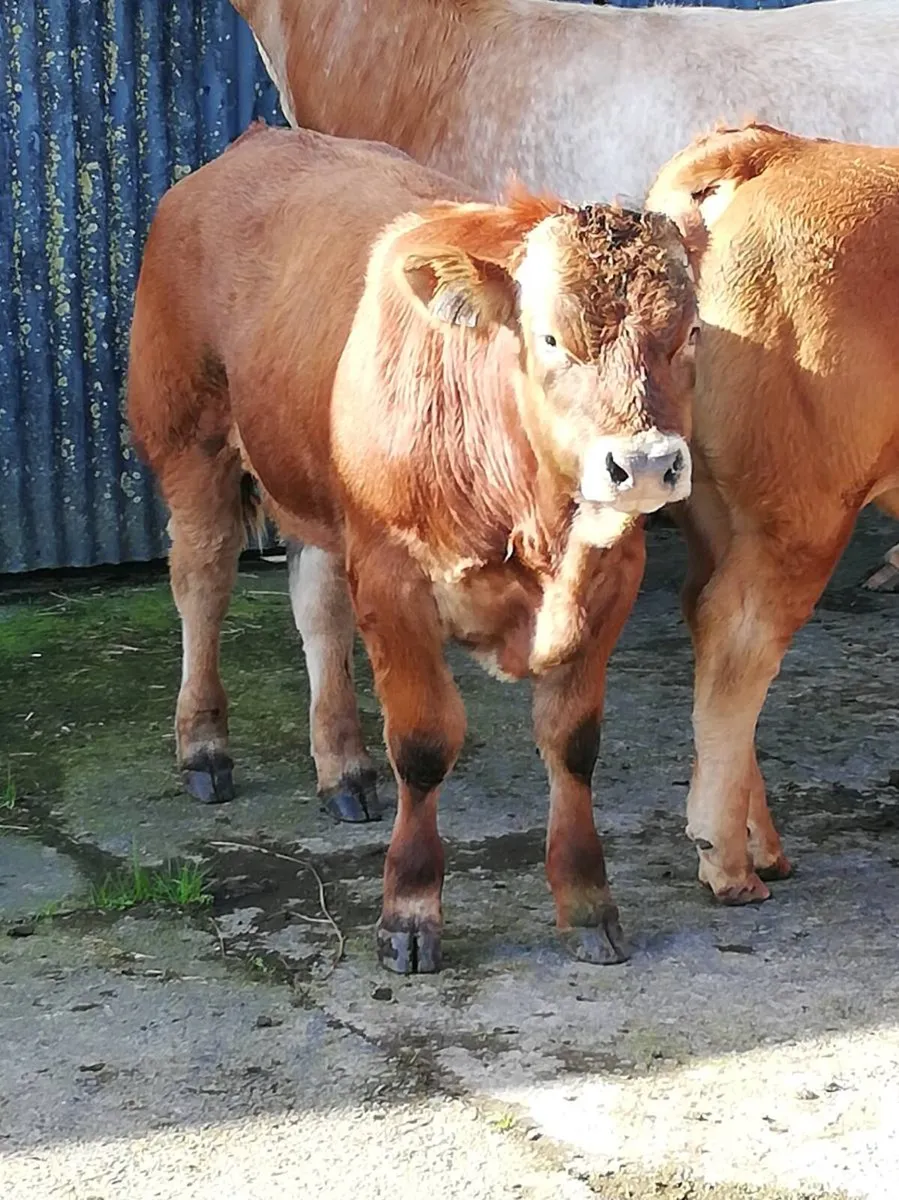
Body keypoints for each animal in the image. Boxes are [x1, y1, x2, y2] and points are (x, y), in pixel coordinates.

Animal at [128, 123, 697, 971]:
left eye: (689, 334)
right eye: (550, 337)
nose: (648, 463)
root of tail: (250, 144)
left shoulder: (610, 574)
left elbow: (571, 743)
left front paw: (588, 902)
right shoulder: (394, 575)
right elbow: (425, 745)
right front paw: (409, 910)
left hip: (316, 490)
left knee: (319, 612)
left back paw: (342, 766)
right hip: (190, 441)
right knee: (201, 585)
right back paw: (203, 747)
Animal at [644, 122, 899, 904]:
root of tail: (775, 149)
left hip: (717, 507)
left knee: (703, 612)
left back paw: (761, 845)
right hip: (805, 512)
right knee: (739, 636)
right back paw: (726, 861)